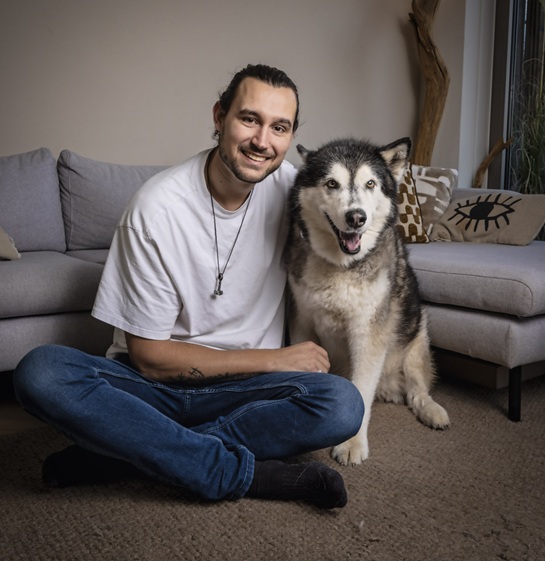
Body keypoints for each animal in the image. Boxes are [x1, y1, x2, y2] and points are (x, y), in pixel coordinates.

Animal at [283, 137, 450, 466]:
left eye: (370, 183)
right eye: (331, 183)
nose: (356, 217)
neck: (341, 266)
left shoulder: (367, 333)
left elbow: (360, 390)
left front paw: (351, 443)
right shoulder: (302, 324)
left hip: (416, 337)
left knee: (417, 390)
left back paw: (430, 410)